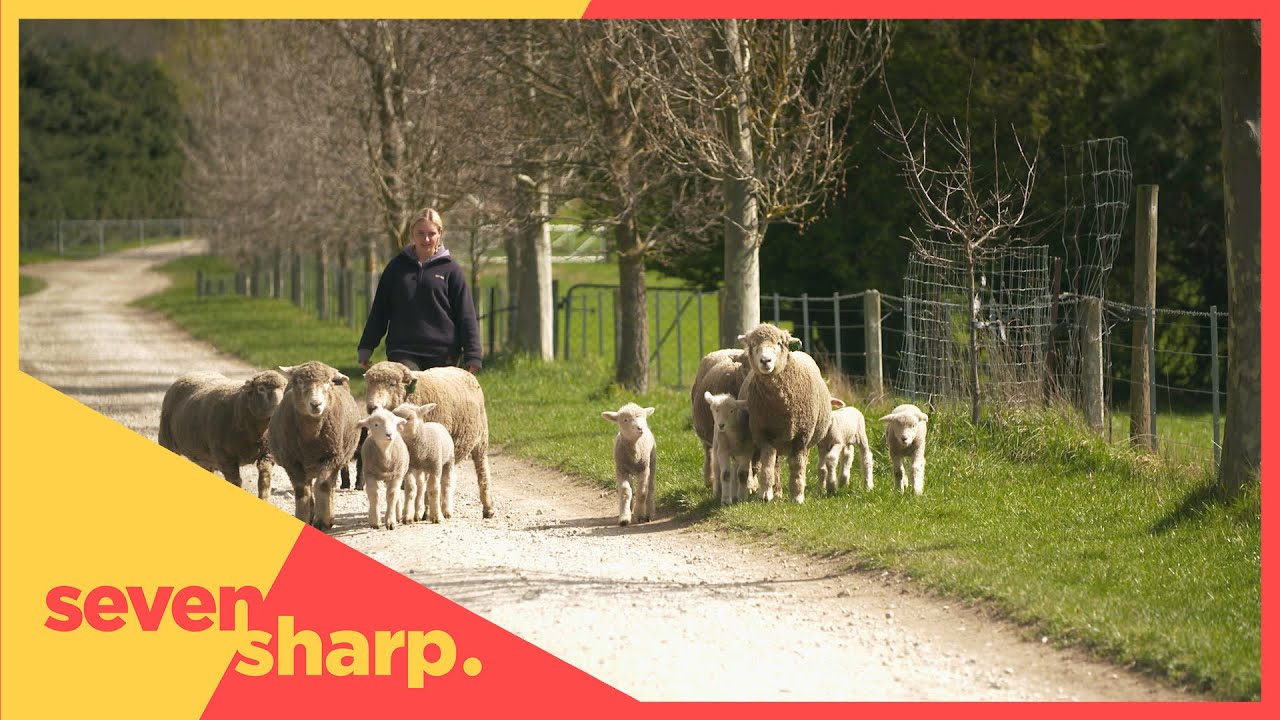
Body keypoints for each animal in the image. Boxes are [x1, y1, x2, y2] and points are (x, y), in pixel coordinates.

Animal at [157, 369, 287, 499]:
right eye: (261, 389)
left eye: (285, 387)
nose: (279, 408)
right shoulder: (226, 458)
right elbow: (236, 482)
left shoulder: (267, 455)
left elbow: (264, 482)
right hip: (166, 439)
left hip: (205, 458)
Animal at [267, 361, 362, 530]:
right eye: (299, 382)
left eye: (328, 382)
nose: (316, 404)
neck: (311, 437)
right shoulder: (292, 462)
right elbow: (302, 491)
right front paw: (304, 517)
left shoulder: (332, 458)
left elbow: (323, 485)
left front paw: (323, 520)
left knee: (329, 486)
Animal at [362, 361, 494, 518]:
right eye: (368, 383)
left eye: (392, 384)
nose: (372, 407)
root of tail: (464, 370)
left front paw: (424, 511)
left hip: (481, 439)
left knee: (482, 472)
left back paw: (487, 507)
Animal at [737, 323, 832, 504]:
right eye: (752, 344)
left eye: (780, 343)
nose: (765, 361)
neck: (780, 409)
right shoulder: (763, 434)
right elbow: (767, 464)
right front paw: (765, 493)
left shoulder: (802, 436)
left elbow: (797, 466)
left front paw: (797, 496)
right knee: (775, 464)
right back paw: (777, 491)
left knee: (802, 461)